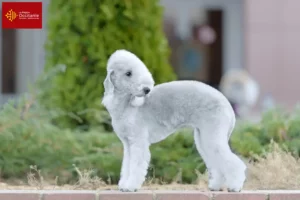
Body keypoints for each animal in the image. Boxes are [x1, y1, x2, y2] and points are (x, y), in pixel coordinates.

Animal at [102, 48, 247, 192]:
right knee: (216, 162)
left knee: (234, 163)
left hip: (213, 133)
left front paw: (130, 187)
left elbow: (136, 165)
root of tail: (228, 105)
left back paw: (235, 187)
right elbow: (127, 165)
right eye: (128, 73)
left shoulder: (138, 141)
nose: (146, 89)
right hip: (203, 138)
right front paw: (123, 185)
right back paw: (215, 186)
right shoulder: (128, 143)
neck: (127, 104)